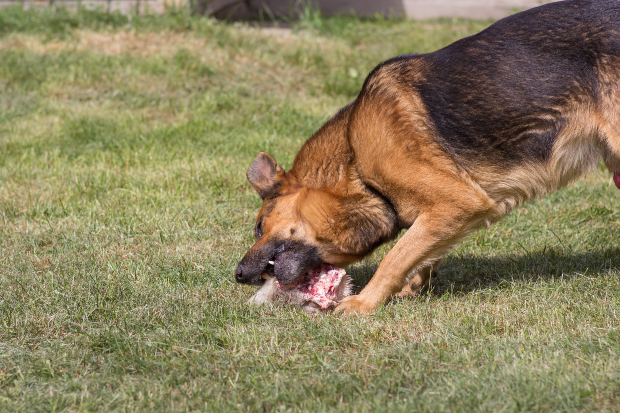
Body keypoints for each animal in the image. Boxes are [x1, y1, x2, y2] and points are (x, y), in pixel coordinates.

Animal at [234, 0, 620, 314]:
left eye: (259, 226)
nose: (237, 275)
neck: (355, 161)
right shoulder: (444, 215)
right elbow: (420, 252)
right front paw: (410, 286)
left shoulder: (459, 202)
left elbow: (394, 257)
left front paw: (363, 302)